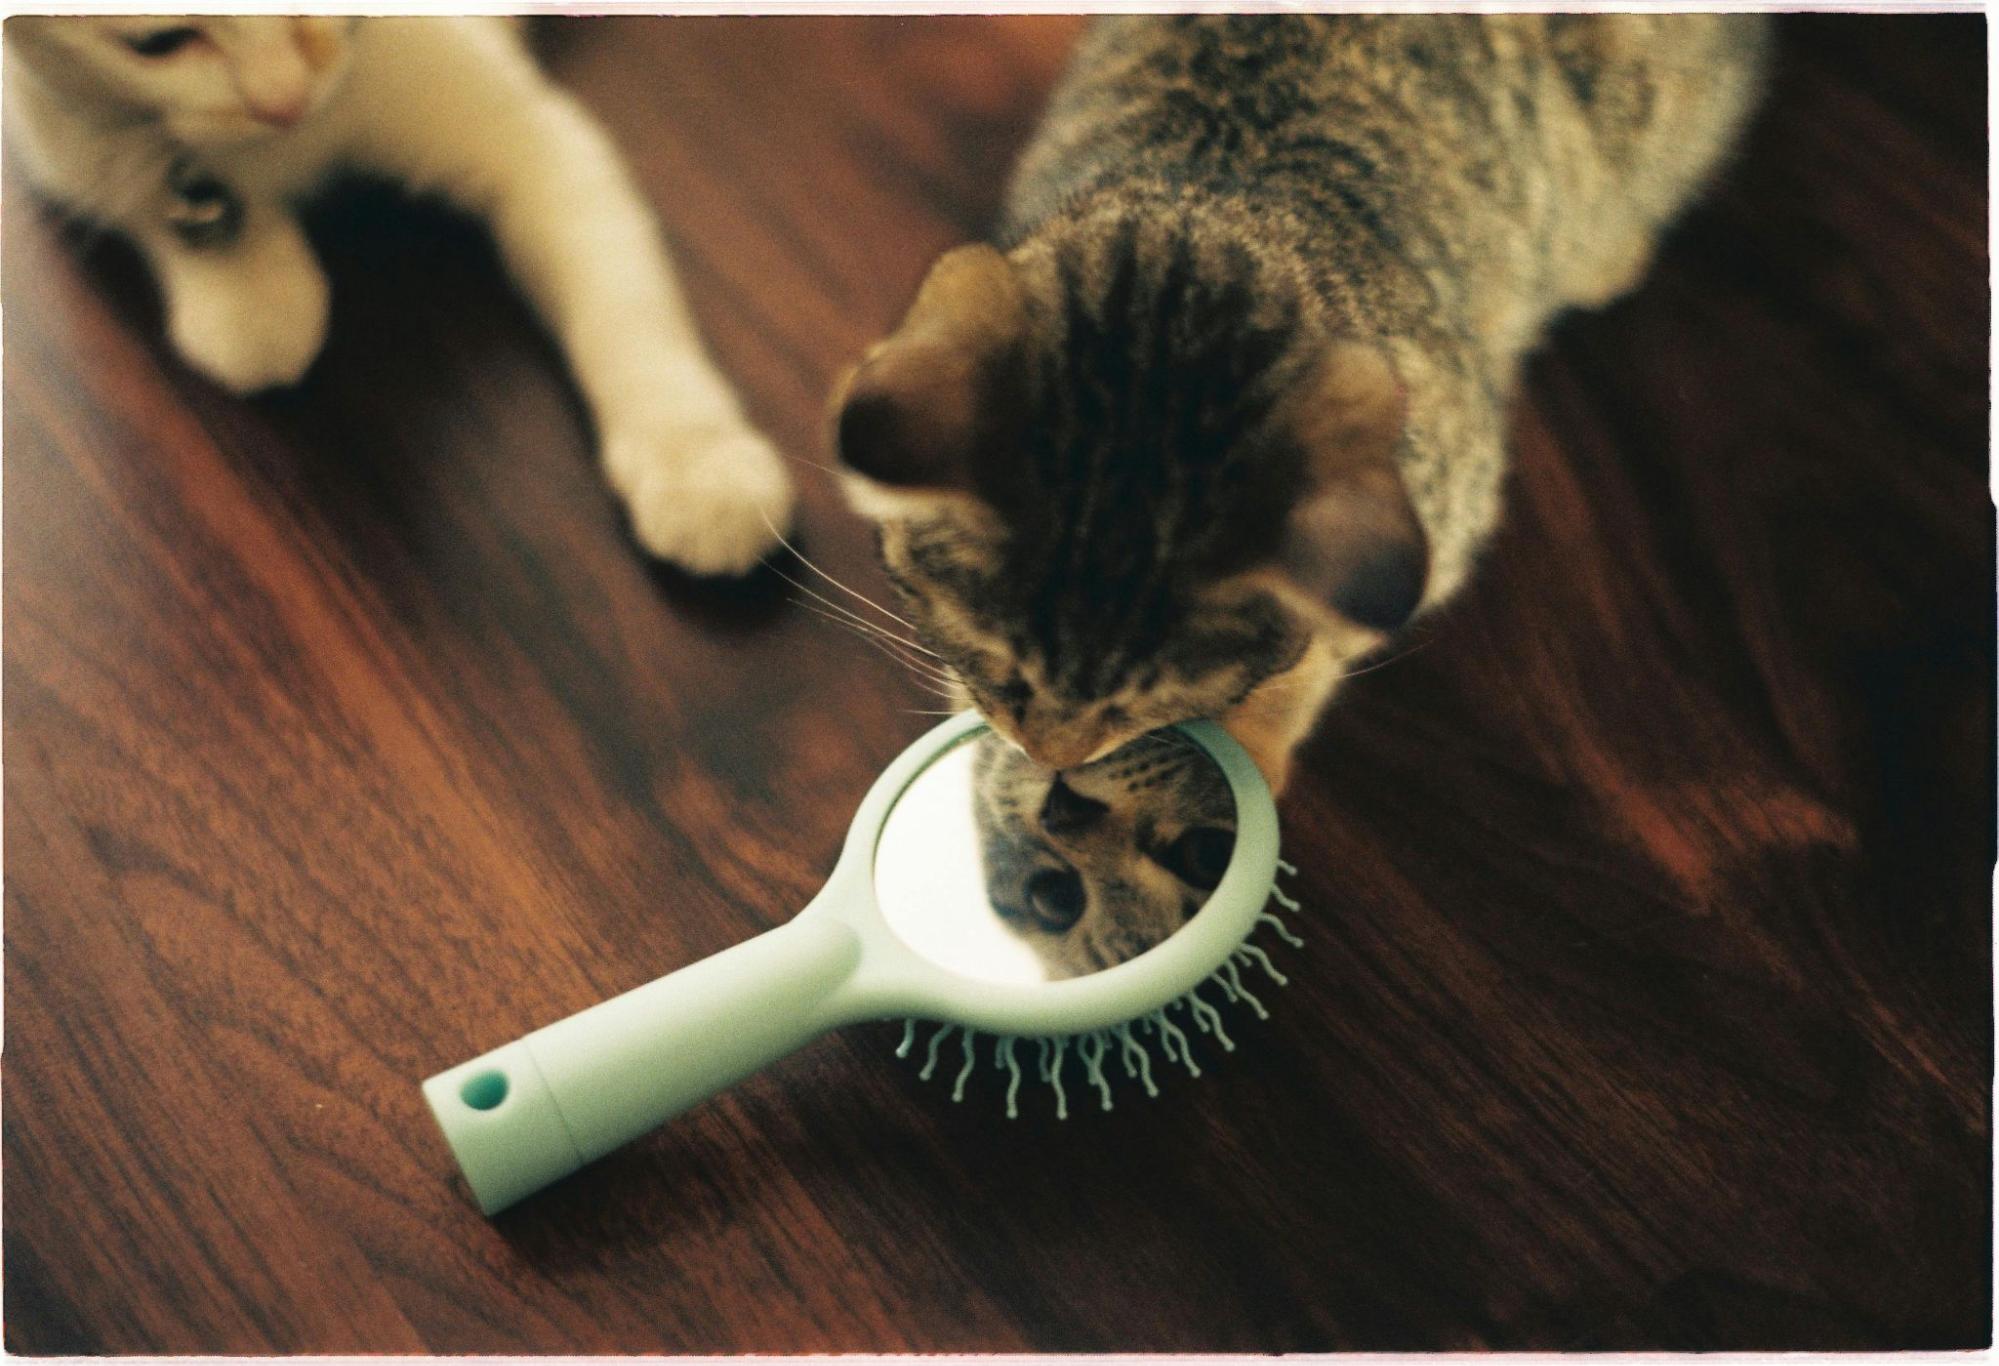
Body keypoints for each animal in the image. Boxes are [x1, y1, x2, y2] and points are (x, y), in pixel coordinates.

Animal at [7, 16, 803, 576]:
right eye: (158, 42)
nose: (285, 101)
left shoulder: (537, 143)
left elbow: (626, 316)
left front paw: (699, 460)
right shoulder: (47, 124)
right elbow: (127, 175)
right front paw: (247, 285)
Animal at [827, 10, 1767, 784]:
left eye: (1140, 701)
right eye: (999, 662)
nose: (1051, 755)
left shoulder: (1437, 510)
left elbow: (1321, 648)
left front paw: (1253, 737)